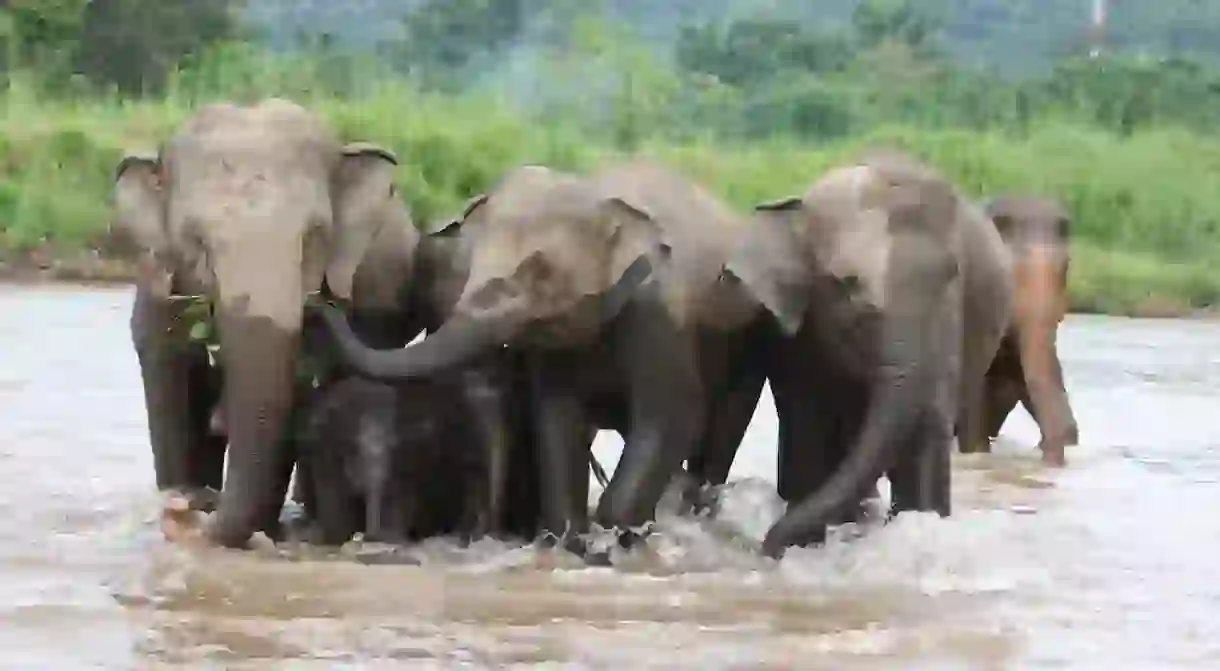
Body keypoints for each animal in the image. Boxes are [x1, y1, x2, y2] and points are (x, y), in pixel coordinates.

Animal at [113, 100, 419, 551]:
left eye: (313, 236)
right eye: (197, 241)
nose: (192, 510)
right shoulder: (157, 293)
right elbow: (172, 393)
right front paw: (180, 500)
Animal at [314, 162, 766, 558]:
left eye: (540, 272)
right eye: (472, 262)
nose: (321, 301)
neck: (599, 199)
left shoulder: (659, 315)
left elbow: (672, 415)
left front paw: (614, 541)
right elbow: (555, 417)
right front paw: (570, 541)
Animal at [717, 151, 1015, 558]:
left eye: (950, 274)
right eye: (846, 284)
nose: (767, 547)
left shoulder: (948, 319)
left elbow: (927, 431)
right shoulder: (798, 338)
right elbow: (808, 425)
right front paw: (805, 547)